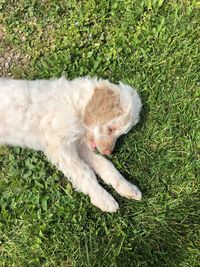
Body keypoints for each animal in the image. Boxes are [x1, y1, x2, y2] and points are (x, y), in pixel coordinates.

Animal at [0, 76, 142, 213]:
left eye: (120, 136)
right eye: (111, 129)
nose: (108, 152)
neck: (76, 105)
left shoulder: (80, 146)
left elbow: (106, 165)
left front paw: (127, 187)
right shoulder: (61, 146)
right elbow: (85, 172)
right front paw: (103, 199)